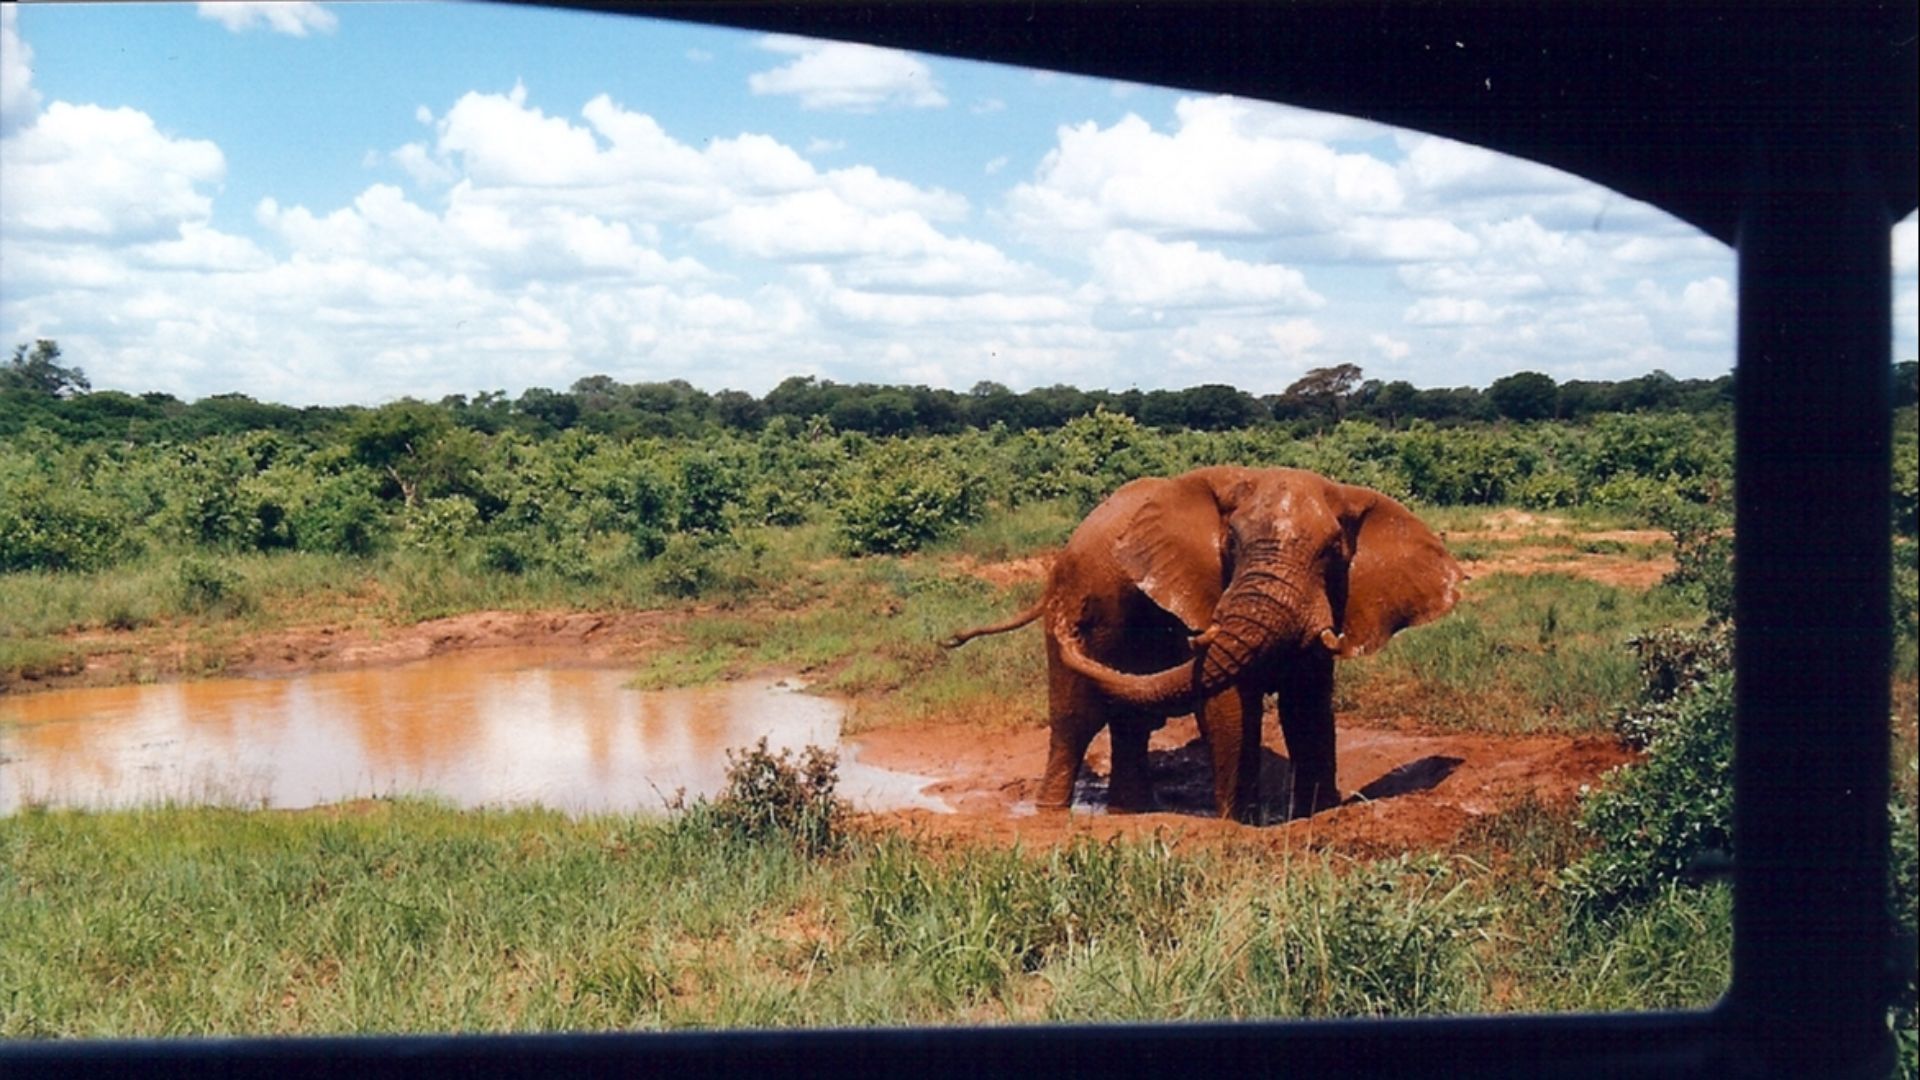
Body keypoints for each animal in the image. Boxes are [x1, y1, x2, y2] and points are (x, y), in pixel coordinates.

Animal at [943, 466, 1461, 822]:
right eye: (1230, 543)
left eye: (1334, 551)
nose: (1076, 618)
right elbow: (1229, 708)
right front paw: (1240, 824)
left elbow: (1308, 710)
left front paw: (1315, 815)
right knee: (1076, 719)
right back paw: (1051, 815)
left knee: (1130, 721)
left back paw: (1130, 812)